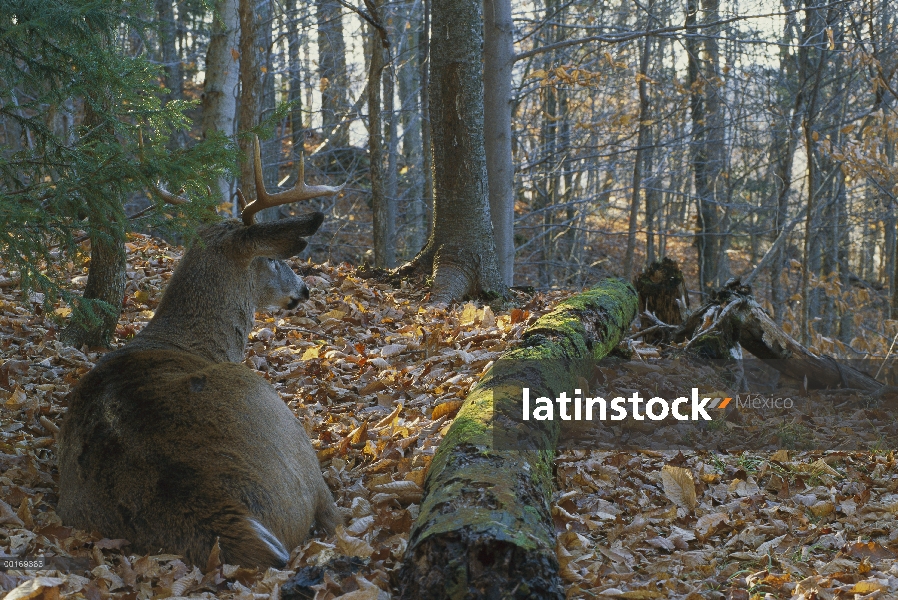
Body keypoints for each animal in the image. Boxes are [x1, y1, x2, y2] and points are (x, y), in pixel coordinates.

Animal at [57, 138, 344, 568]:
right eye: (272, 258)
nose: (304, 290)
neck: (197, 344)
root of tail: (225, 514)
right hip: (283, 430)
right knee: (330, 512)